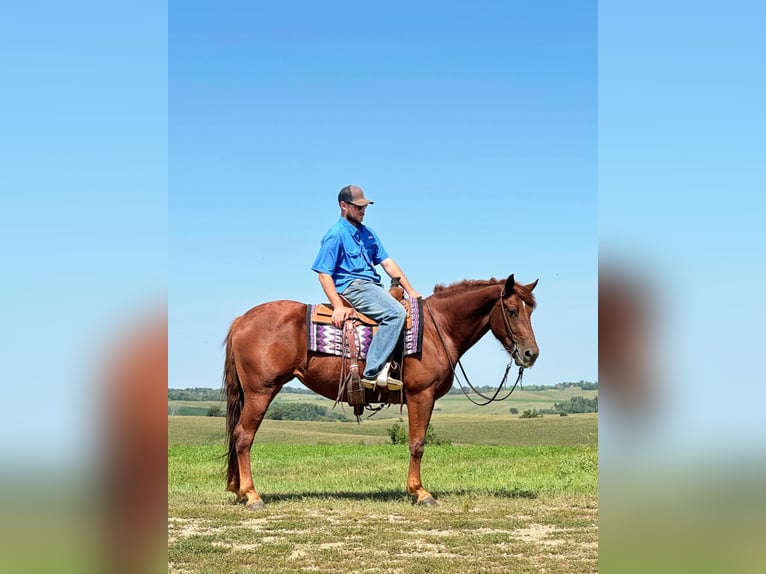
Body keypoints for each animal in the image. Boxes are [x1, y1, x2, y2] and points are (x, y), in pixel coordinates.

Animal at [225, 276, 540, 510]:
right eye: (513, 310)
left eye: (531, 311)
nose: (531, 354)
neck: (438, 329)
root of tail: (241, 319)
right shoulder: (420, 395)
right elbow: (417, 444)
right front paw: (420, 492)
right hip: (261, 392)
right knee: (243, 436)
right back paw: (252, 495)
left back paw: (240, 491)